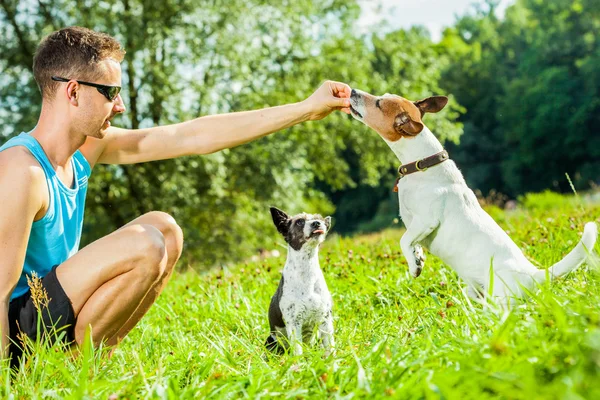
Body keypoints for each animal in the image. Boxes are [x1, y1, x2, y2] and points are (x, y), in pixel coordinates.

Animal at [264, 208, 336, 354]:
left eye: (319, 218)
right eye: (299, 222)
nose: (316, 223)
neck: (306, 270)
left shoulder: (325, 320)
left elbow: (330, 347)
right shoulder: (294, 322)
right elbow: (298, 350)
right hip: (271, 341)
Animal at [350, 89, 596, 304]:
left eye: (379, 103)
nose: (352, 91)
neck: (423, 164)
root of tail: (533, 276)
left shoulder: (425, 221)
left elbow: (404, 239)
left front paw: (413, 266)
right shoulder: (414, 225)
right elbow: (411, 242)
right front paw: (418, 257)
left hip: (501, 298)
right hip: (474, 291)